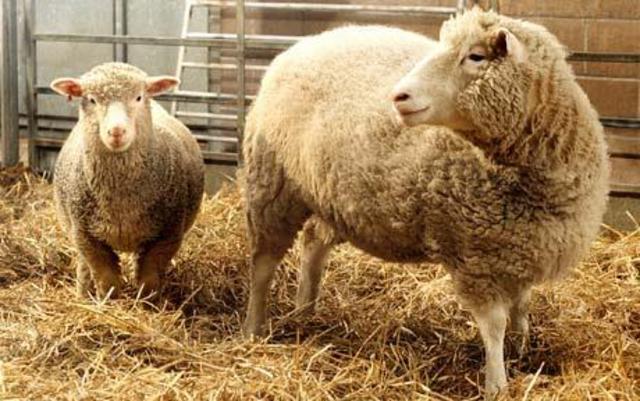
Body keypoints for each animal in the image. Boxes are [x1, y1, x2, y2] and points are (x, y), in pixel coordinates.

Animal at [51, 62, 205, 299]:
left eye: (139, 97)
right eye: (92, 99)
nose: (116, 131)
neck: (121, 201)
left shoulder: (166, 236)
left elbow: (149, 279)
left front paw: (148, 303)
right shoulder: (87, 237)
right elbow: (107, 281)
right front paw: (109, 303)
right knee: (84, 266)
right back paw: (83, 295)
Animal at [241, 8, 610, 397]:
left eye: (476, 57)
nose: (398, 96)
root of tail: (299, 47)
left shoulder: (521, 248)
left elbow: (522, 306)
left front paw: (522, 350)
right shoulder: (475, 257)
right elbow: (493, 325)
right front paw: (497, 383)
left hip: (330, 195)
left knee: (313, 245)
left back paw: (305, 311)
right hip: (272, 188)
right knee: (263, 265)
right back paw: (253, 327)